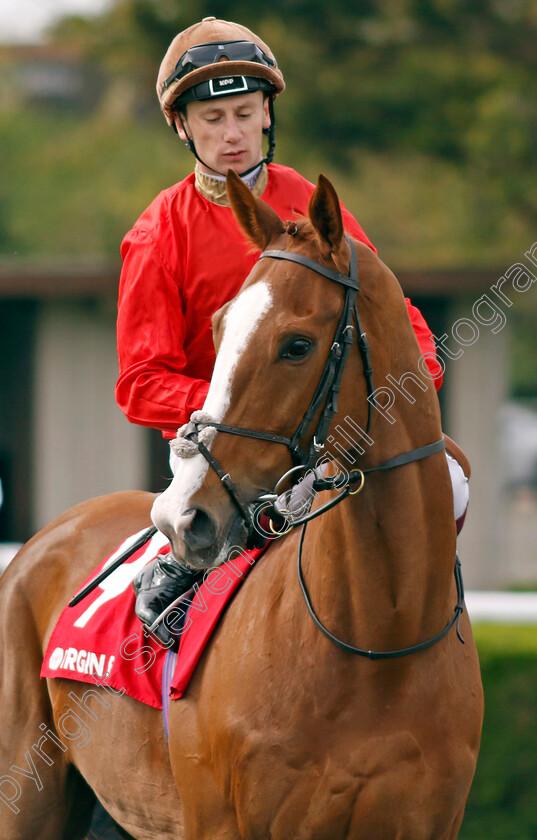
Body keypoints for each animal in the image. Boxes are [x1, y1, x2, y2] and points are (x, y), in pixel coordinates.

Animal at [0, 172, 482, 840]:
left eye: (297, 345)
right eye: (219, 328)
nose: (182, 519)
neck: (378, 640)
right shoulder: (224, 822)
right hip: (27, 793)